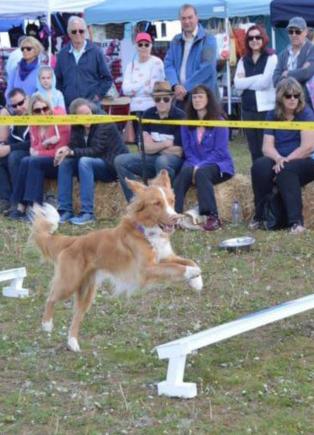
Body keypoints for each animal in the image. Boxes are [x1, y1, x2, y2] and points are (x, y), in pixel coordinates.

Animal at [30, 171, 202, 354]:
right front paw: (192, 274)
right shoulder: (146, 269)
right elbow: (176, 267)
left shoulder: (164, 257)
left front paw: (197, 281)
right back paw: (47, 324)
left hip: (87, 292)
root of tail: (74, 241)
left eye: (171, 201)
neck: (145, 231)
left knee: (76, 316)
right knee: (51, 297)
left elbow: (190, 261)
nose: (176, 218)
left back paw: (73, 342)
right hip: (69, 282)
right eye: (157, 204)